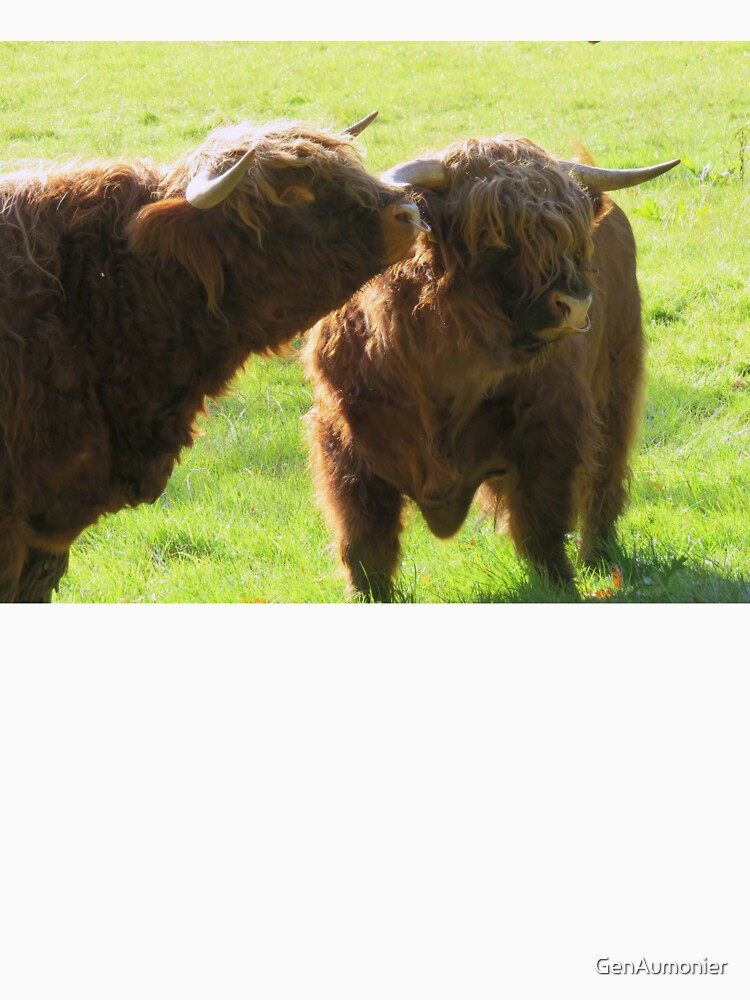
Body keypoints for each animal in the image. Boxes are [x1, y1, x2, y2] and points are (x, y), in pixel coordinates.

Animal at [302, 134, 680, 600]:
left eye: (572, 235)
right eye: (493, 235)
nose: (575, 304)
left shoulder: (553, 430)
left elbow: (542, 524)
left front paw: (560, 585)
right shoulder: (345, 447)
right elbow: (363, 540)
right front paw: (369, 596)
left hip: (616, 386)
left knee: (604, 480)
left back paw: (599, 558)